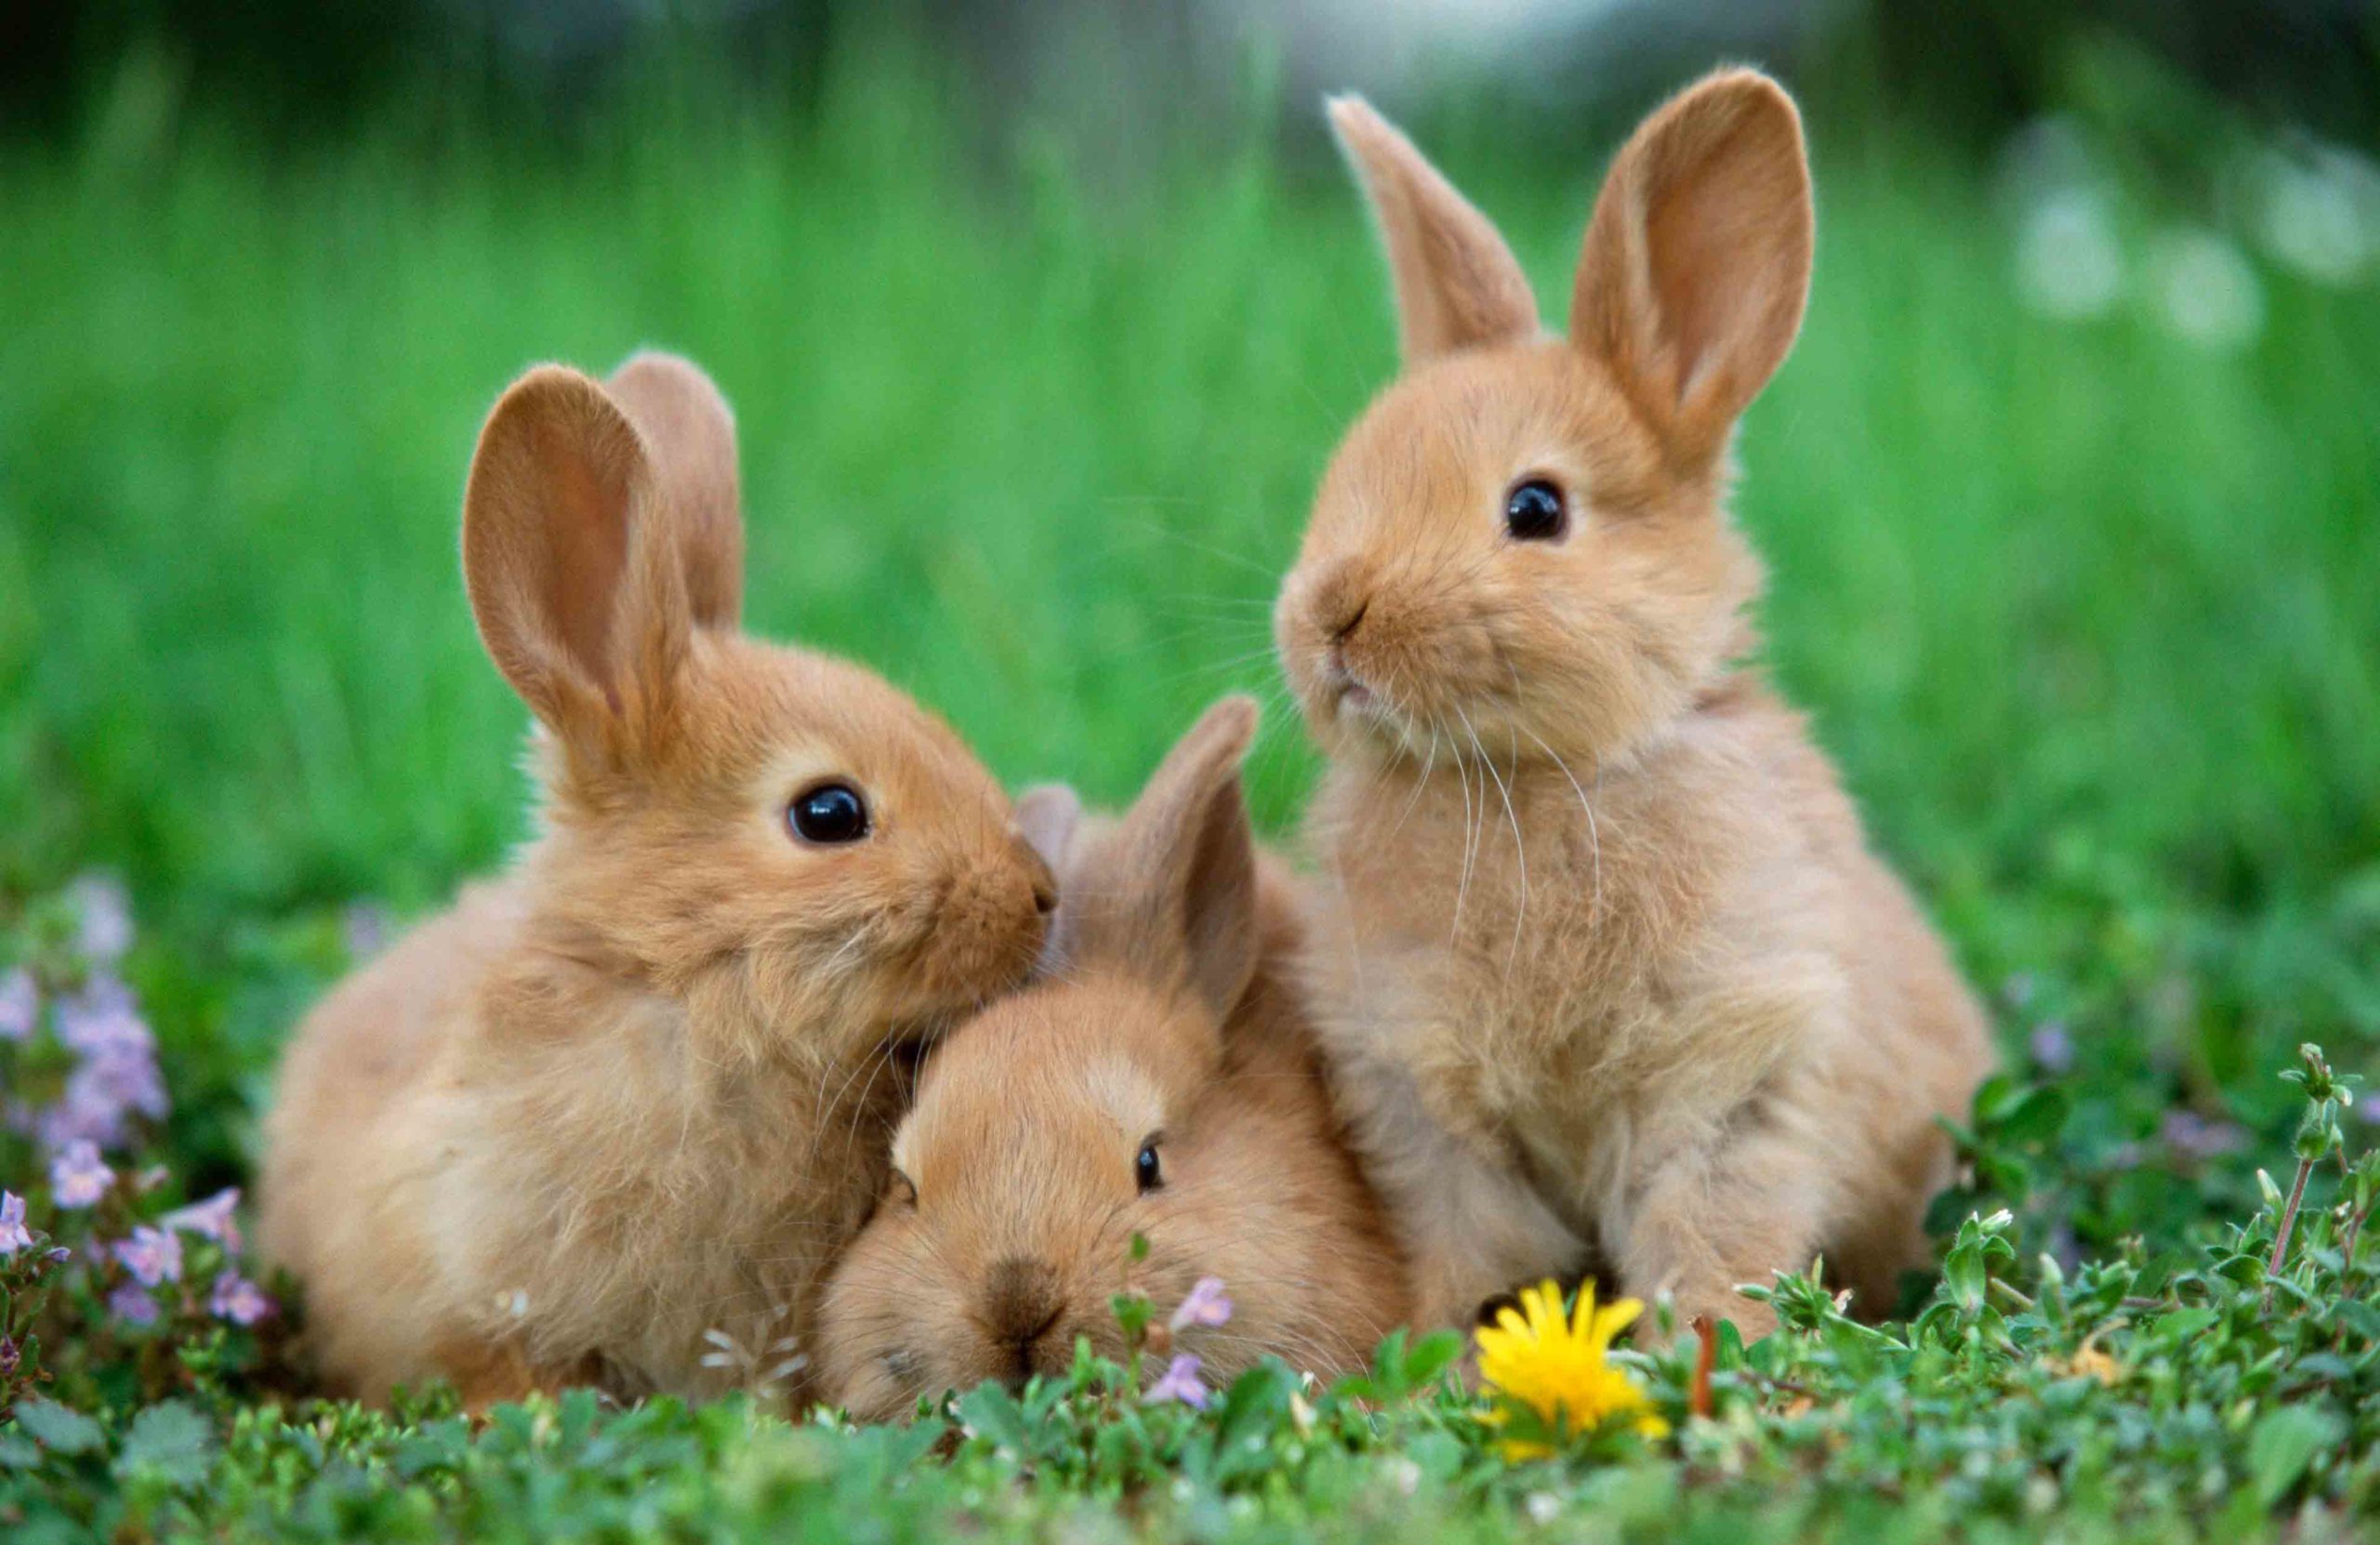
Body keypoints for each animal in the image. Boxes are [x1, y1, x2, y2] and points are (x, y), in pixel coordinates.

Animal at [1269, 71, 1995, 1342]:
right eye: (1346, 478)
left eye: (1535, 509)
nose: (1331, 621)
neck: (1537, 777)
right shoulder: (1426, 1109)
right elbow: (1481, 1251)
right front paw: (1452, 1354)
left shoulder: (1735, 1072)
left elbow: (1708, 1235)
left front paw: (1707, 1352)